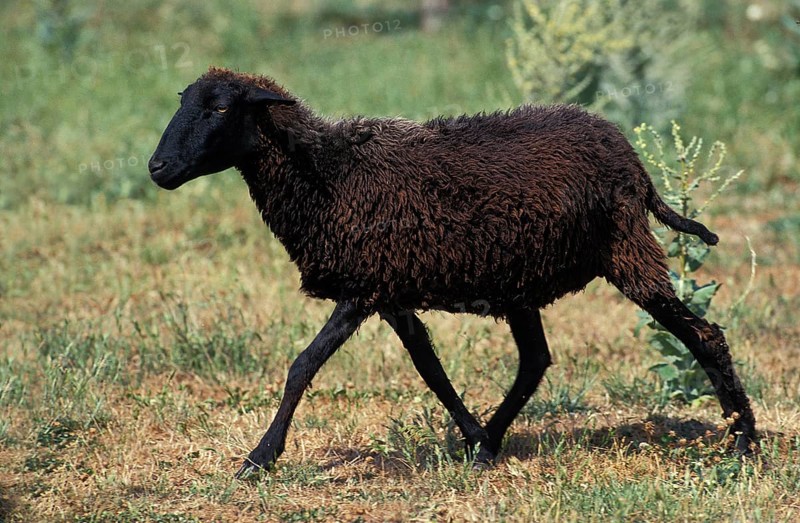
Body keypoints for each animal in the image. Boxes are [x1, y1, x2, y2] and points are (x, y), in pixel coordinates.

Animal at [148, 66, 756, 478]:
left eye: (220, 109)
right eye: (184, 102)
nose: (157, 167)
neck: (328, 172)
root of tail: (634, 161)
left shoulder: (361, 287)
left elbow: (303, 366)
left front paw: (259, 459)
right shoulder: (389, 291)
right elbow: (430, 367)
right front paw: (471, 437)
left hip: (627, 253)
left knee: (705, 335)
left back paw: (744, 441)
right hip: (521, 282)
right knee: (535, 361)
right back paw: (491, 440)